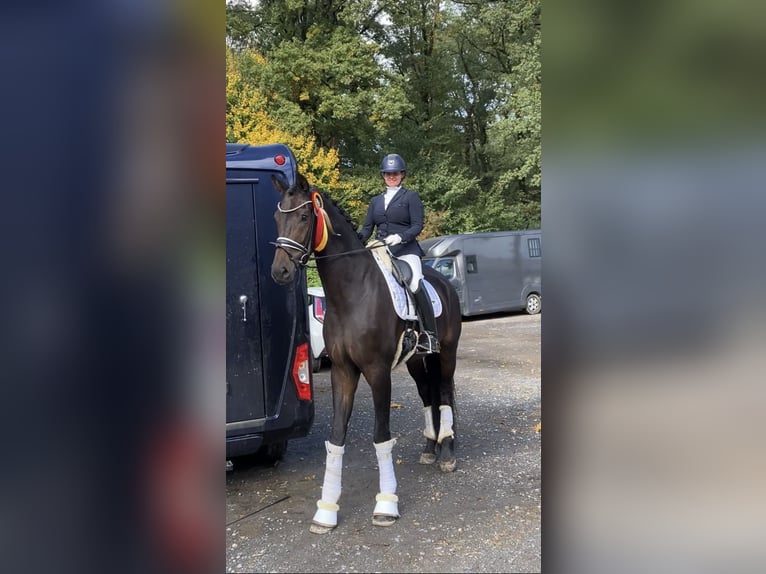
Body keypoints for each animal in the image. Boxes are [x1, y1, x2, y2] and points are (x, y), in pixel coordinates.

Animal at [270, 172, 462, 534]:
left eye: (303, 217)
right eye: (277, 217)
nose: (280, 272)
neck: (352, 293)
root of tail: (443, 282)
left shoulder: (377, 372)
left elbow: (381, 436)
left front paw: (386, 505)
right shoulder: (342, 371)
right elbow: (335, 438)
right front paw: (326, 510)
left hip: (446, 355)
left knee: (443, 393)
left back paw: (447, 452)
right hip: (417, 361)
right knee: (427, 394)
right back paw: (430, 448)